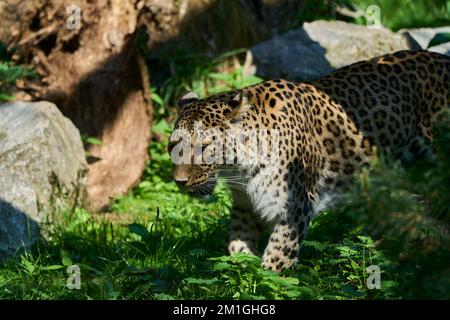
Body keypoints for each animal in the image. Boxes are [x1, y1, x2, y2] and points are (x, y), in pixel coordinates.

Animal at [167, 48, 448, 272]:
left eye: (204, 147)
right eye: (173, 146)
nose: (179, 182)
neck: (238, 168)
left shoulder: (294, 206)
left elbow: (278, 255)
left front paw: (266, 279)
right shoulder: (246, 204)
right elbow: (237, 242)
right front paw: (244, 268)